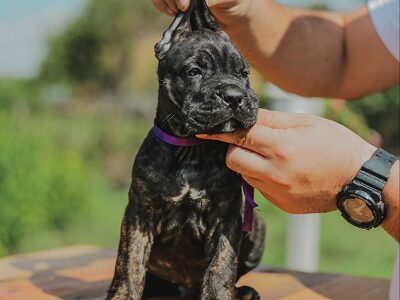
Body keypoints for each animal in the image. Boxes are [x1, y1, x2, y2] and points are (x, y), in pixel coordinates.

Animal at [106, 1, 268, 298]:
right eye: (194, 72)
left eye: (243, 74)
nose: (235, 96)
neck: (192, 149)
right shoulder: (139, 215)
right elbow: (129, 264)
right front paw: (123, 293)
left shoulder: (225, 216)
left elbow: (221, 266)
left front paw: (219, 294)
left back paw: (244, 291)